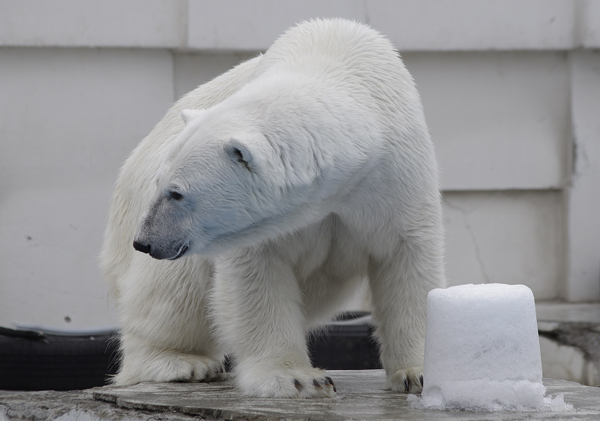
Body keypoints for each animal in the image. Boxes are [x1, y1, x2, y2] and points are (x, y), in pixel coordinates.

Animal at [101, 17, 442, 398]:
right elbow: (258, 278)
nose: (145, 241)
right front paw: (298, 378)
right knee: (174, 293)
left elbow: (406, 261)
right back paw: (180, 362)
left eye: (176, 193)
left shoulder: (394, 176)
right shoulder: (261, 227)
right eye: (160, 184)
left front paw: (418, 373)